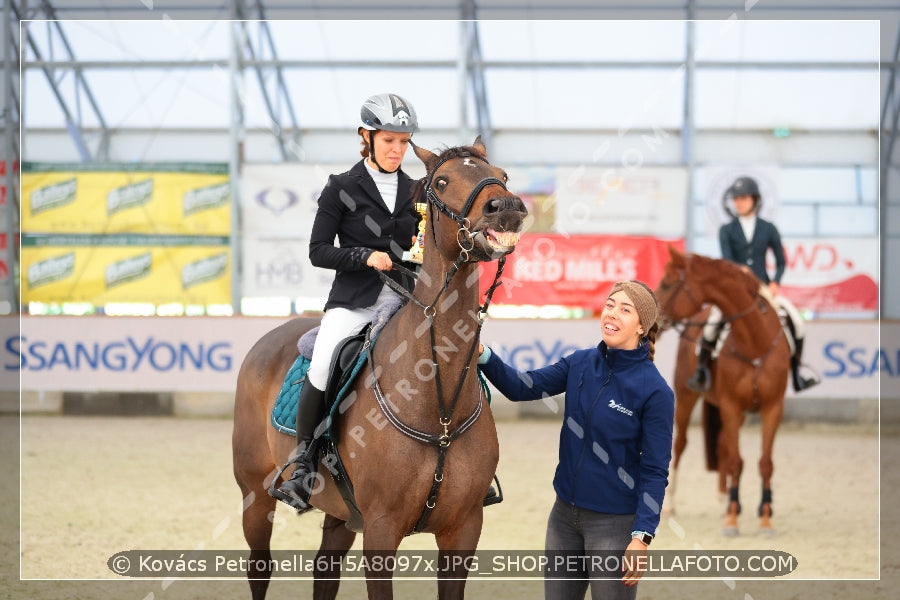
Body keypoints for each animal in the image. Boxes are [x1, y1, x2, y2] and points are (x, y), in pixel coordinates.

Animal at [230, 137, 528, 600]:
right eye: (442, 182)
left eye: (502, 174)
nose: (507, 207)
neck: (437, 408)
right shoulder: (381, 531)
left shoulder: (463, 531)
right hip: (255, 496)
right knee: (259, 568)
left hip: (340, 514)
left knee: (325, 570)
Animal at [652, 246, 788, 536]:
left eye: (667, 283)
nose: (652, 319)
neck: (754, 343)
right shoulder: (730, 405)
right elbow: (736, 461)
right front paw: (732, 522)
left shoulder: (772, 408)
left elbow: (765, 463)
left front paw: (765, 519)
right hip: (686, 397)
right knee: (680, 445)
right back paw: (670, 505)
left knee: (724, 444)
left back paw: (727, 499)